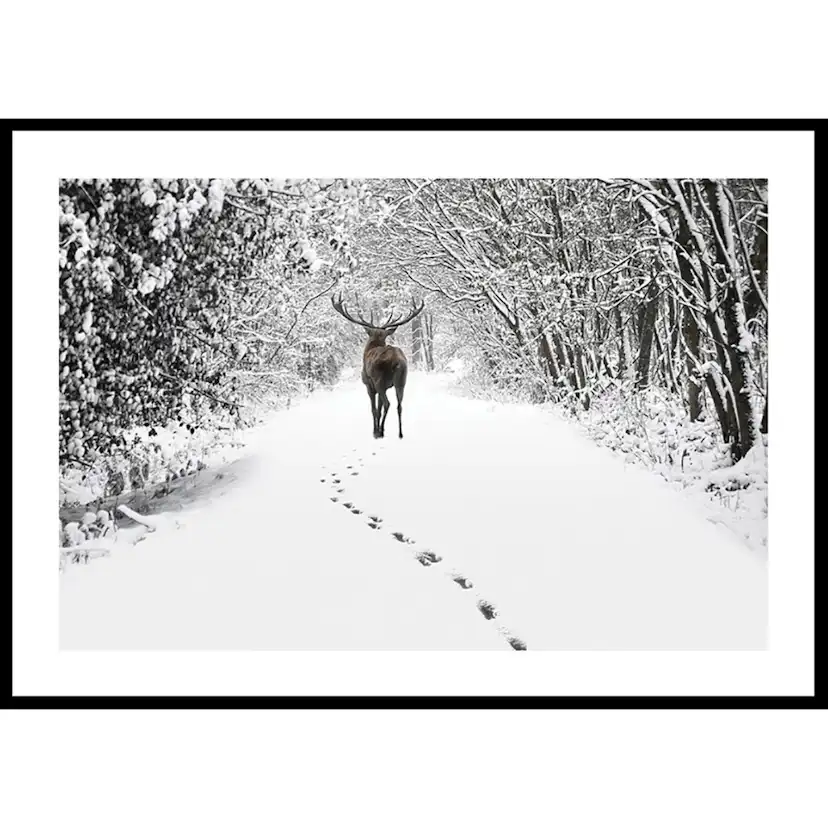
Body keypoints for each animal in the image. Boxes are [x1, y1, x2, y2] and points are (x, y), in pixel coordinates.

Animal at [331, 294, 426, 439]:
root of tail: (396, 361)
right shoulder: (386, 386)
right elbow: (379, 408)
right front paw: (380, 429)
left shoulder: (369, 385)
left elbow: (374, 409)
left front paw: (375, 431)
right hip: (401, 381)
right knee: (399, 405)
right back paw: (400, 433)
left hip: (379, 380)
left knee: (388, 404)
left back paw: (380, 432)